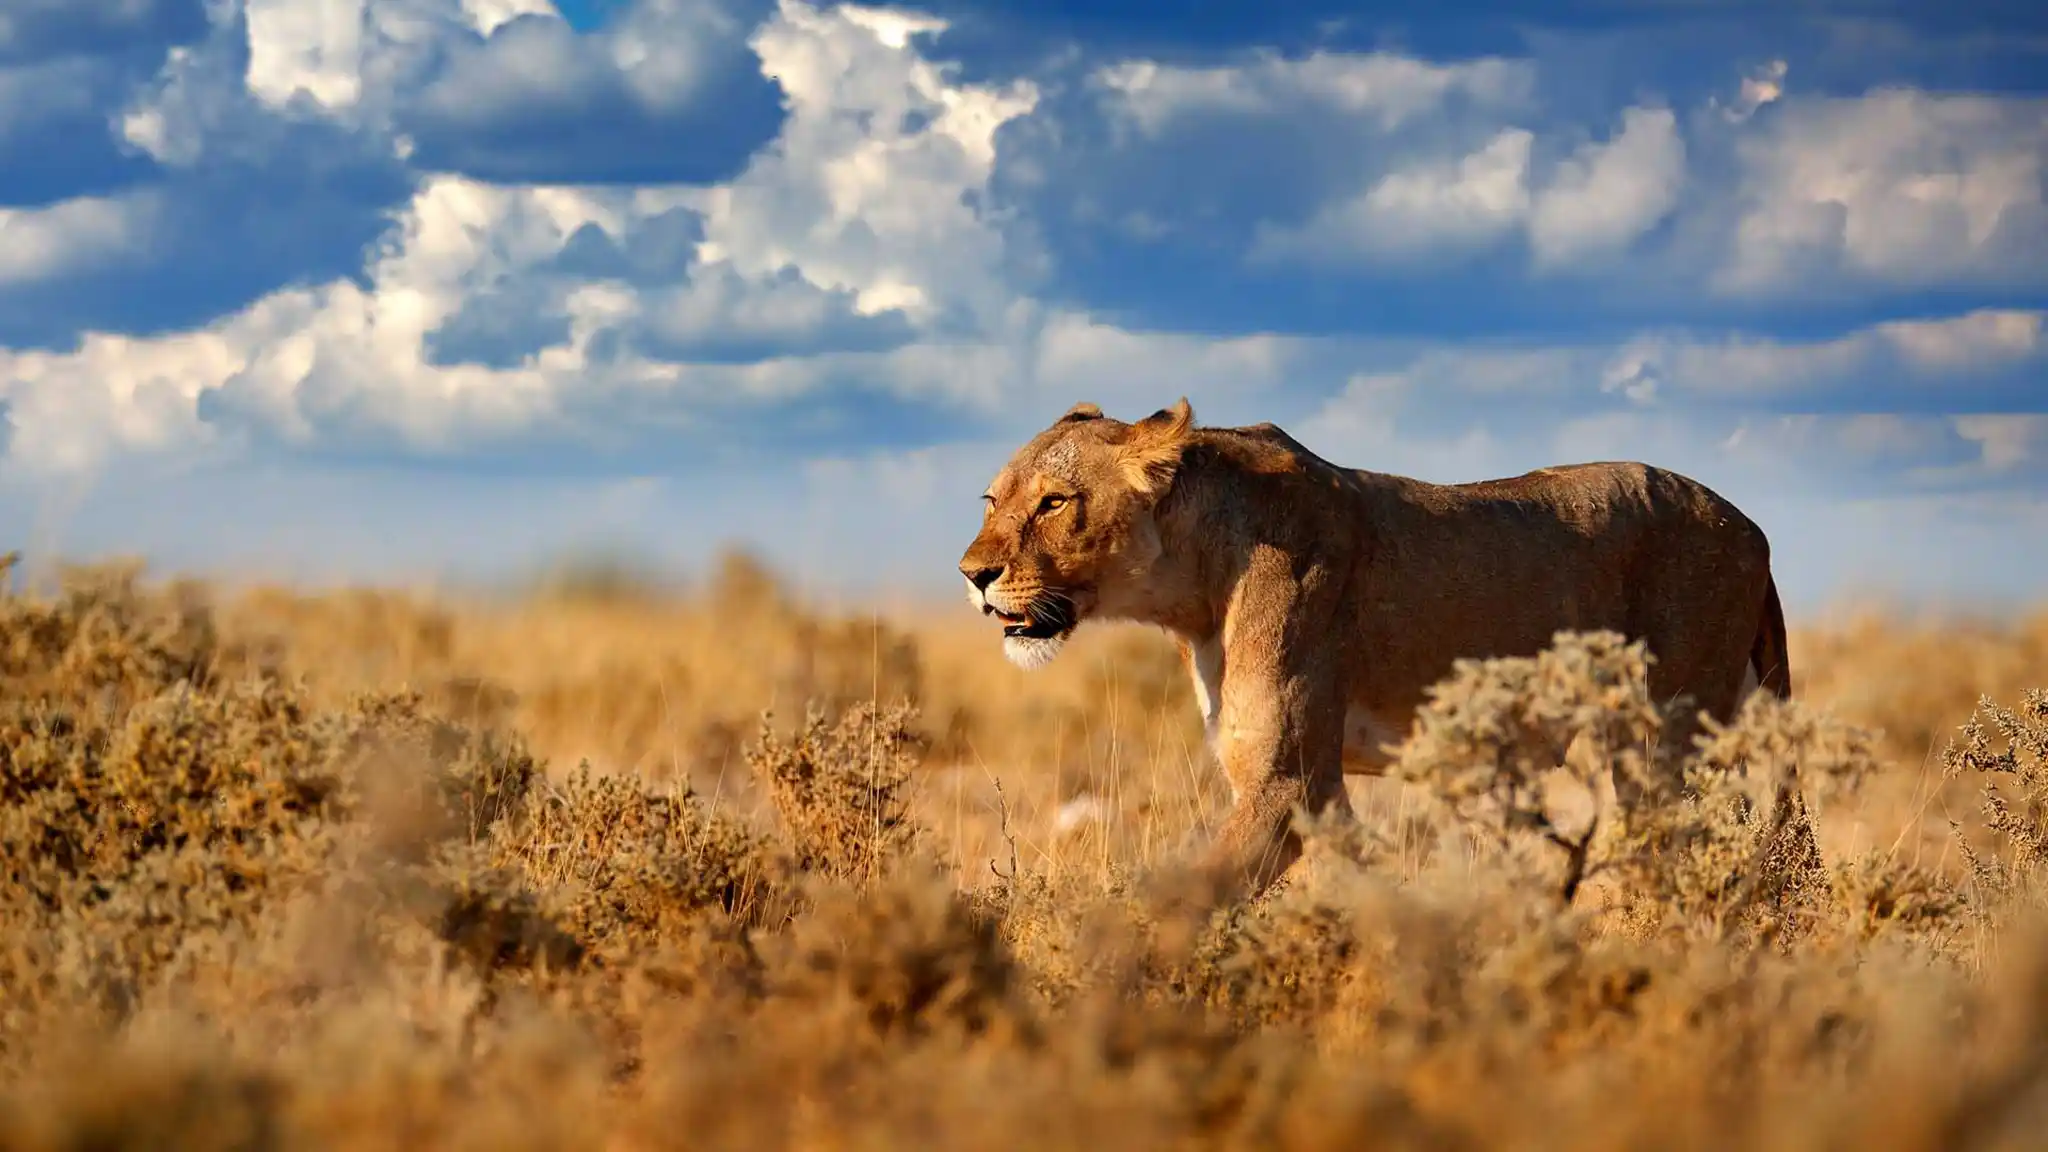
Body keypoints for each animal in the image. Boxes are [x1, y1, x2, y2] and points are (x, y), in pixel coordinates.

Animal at [957, 396, 1810, 904]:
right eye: (992, 501)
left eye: (1055, 502)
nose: (973, 575)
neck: (1192, 585)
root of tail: (1753, 527)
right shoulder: (1315, 790)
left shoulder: (1287, 782)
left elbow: (1175, 906)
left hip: (1662, 740)